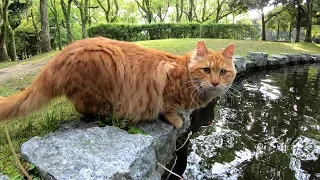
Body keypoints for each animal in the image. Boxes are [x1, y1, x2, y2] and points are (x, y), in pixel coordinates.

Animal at [0, 37, 235, 128]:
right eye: (206, 70)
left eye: (223, 72)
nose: (215, 83)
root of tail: (61, 54)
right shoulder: (165, 88)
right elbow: (168, 109)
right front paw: (177, 120)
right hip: (104, 61)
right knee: (84, 108)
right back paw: (112, 116)